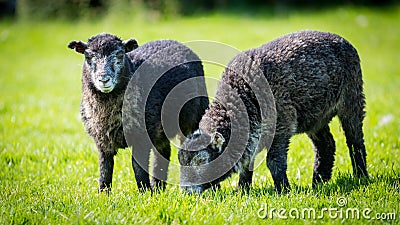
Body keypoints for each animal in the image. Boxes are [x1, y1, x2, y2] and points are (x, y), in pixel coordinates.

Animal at [68, 33, 209, 192]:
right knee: (163, 153)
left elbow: (138, 166)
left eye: (120, 55)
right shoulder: (102, 140)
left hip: (194, 117)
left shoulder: (142, 137)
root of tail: (173, 41)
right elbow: (105, 167)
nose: (104, 79)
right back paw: (158, 187)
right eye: (88, 56)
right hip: (160, 130)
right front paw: (103, 192)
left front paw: (145, 192)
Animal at [178, 30, 368, 194]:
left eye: (201, 161)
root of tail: (341, 39)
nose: (186, 192)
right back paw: (319, 181)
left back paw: (361, 177)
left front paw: (283, 190)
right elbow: (247, 164)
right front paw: (242, 191)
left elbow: (274, 161)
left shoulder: (281, 126)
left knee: (355, 142)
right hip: (316, 118)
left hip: (352, 98)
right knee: (326, 145)